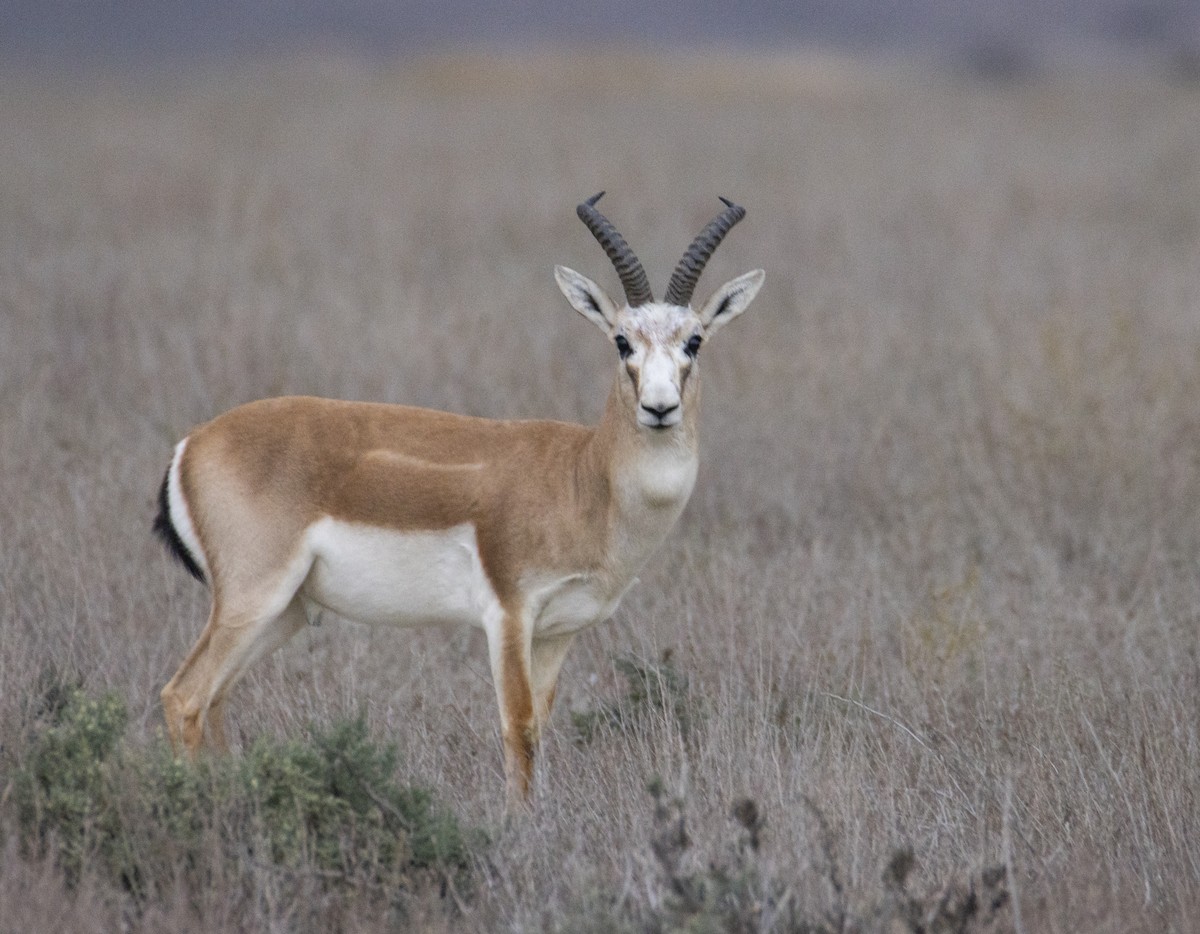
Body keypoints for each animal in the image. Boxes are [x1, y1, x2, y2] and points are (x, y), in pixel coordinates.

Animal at [154, 193, 764, 808]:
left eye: (694, 341)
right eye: (622, 341)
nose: (659, 407)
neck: (585, 477)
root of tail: (193, 444)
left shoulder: (559, 632)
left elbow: (541, 726)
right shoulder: (509, 614)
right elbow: (518, 728)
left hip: (285, 613)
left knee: (215, 701)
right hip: (253, 600)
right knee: (184, 697)